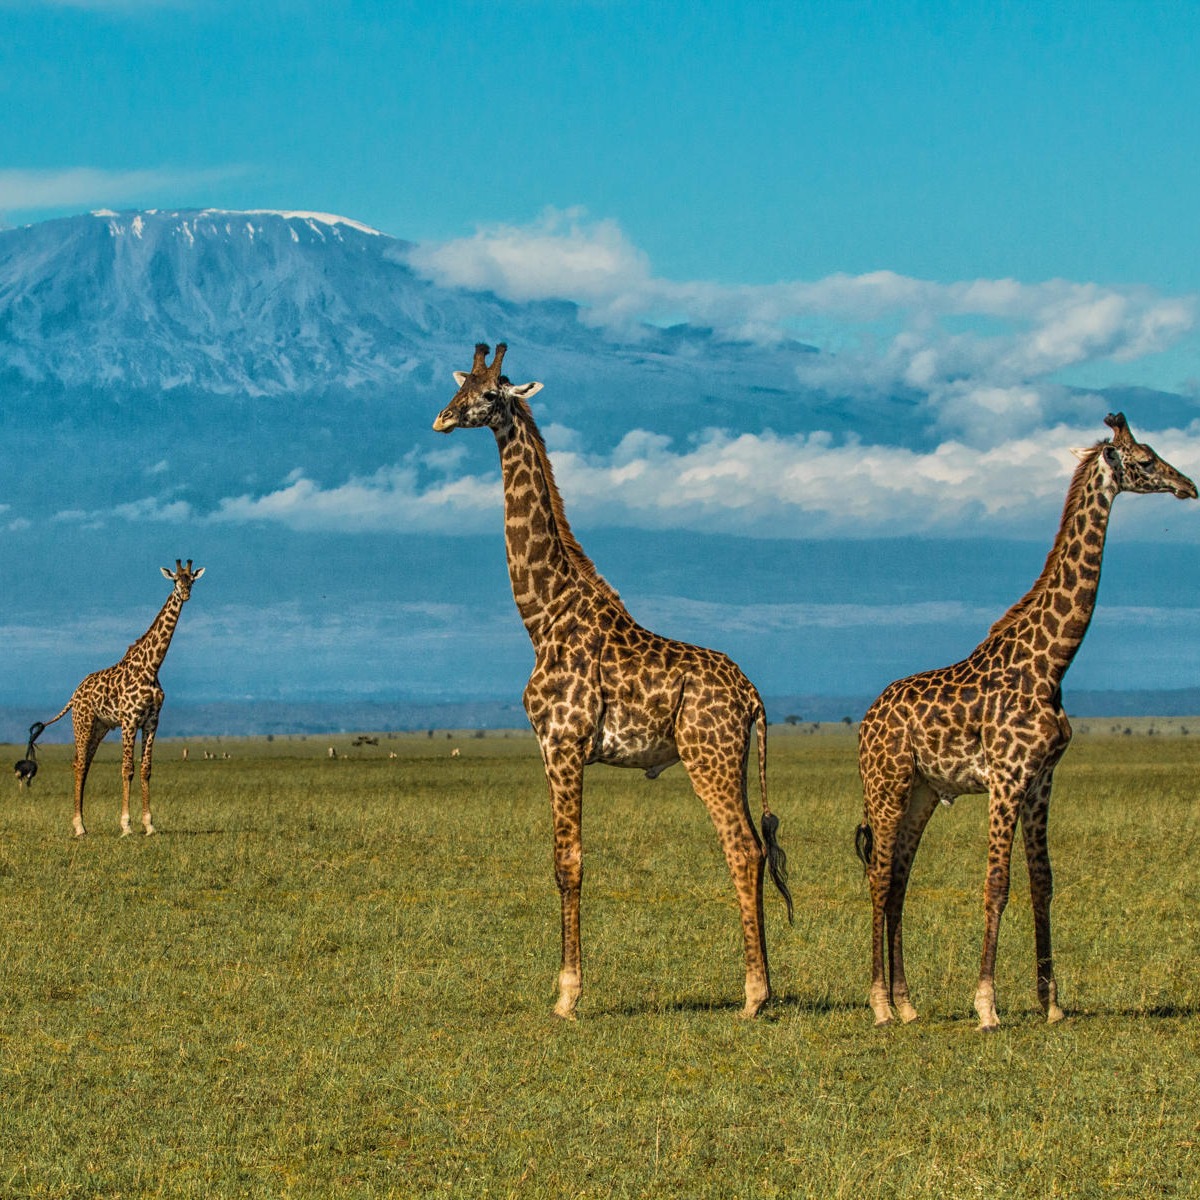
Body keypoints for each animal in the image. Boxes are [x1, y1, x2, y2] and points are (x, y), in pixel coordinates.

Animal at [27, 559, 204, 835]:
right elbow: (127, 769)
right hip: (83, 723)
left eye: (192, 580)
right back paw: (78, 826)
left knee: (85, 763)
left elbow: (145, 769)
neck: (152, 667)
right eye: (176, 580)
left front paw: (149, 825)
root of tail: (74, 694)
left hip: (99, 727)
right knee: (79, 764)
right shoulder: (129, 720)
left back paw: (83, 823)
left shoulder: (152, 721)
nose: (185, 593)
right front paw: (126, 826)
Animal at [434, 343, 796, 1017]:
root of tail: (754, 697)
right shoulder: (556, 748)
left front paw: (567, 996)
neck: (542, 615)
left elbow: (567, 862)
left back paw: (754, 995)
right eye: (460, 384)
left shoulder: (562, 743)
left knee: (741, 847)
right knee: (756, 849)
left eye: (491, 394)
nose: (442, 419)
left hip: (708, 757)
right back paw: (760, 988)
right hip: (731, 760)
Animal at [859, 415, 1195, 1032]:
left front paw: (1052, 1003)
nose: (1189, 486)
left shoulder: (1042, 780)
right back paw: (880, 1006)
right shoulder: (1007, 779)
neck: (1052, 662)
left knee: (899, 881)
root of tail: (868, 718)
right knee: (879, 878)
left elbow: (1043, 882)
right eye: (1144, 459)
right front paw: (986, 1005)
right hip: (887, 784)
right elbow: (997, 883)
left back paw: (908, 1003)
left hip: (921, 792)